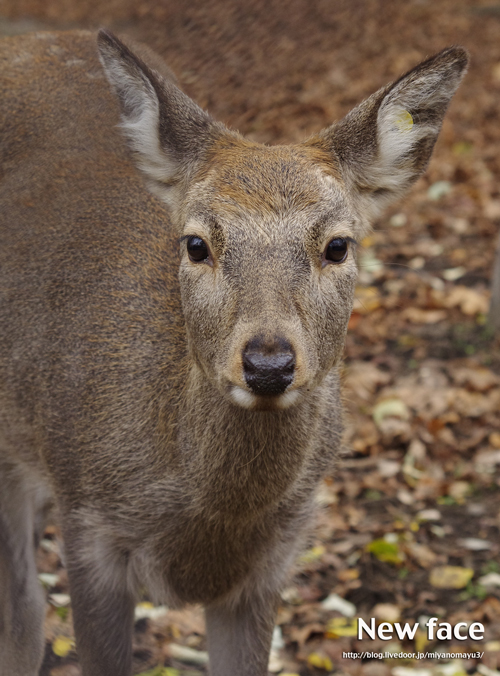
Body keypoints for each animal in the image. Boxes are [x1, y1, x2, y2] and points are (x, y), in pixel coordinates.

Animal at [0, 27, 468, 676]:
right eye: (196, 243)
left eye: (338, 245)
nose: (268, 365)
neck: (213, 514)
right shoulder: (89, 526)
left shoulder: (275, 560)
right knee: (23, 610)